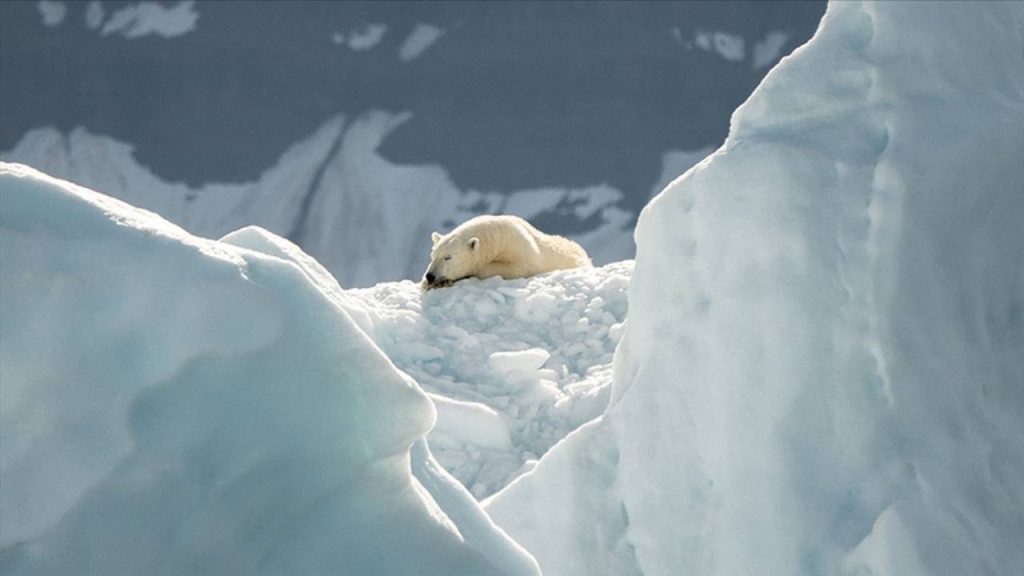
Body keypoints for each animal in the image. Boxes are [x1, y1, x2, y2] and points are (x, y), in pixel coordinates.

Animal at [417, 214, 593, 289]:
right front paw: (429, 283)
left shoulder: (520, 247)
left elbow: (519, 267)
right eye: (433, 256)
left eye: (448, 257)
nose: (430, 276)